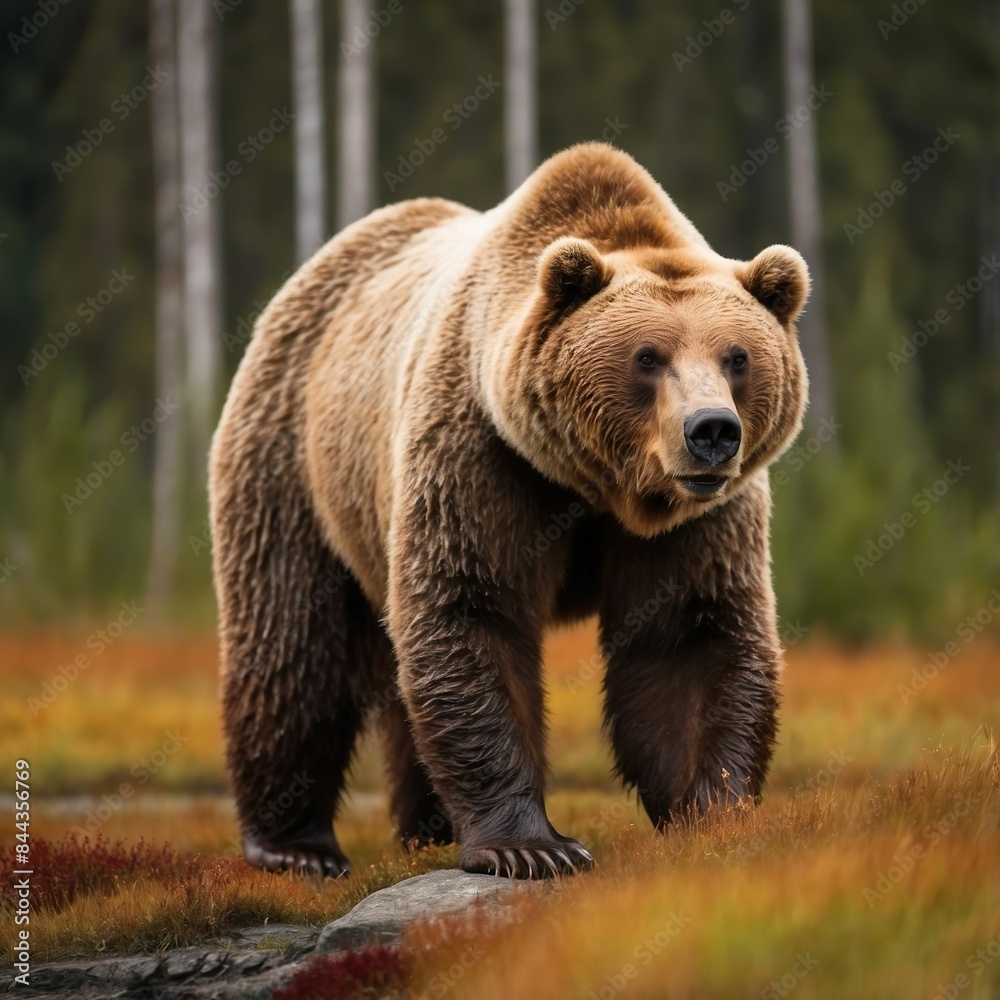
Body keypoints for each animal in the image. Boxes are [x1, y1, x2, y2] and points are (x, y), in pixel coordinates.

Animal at [210, 142, 809, 880]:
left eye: (738, 357)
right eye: (648, 356)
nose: (712, 431)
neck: (598, 486)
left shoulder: (699, 517)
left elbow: (688, 635)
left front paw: (712, 819)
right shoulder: (481, 451)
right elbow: (476, 608)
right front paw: (530, 846)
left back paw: (427, 826)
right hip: (294, 453)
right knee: (293, 640)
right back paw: (296, 846)